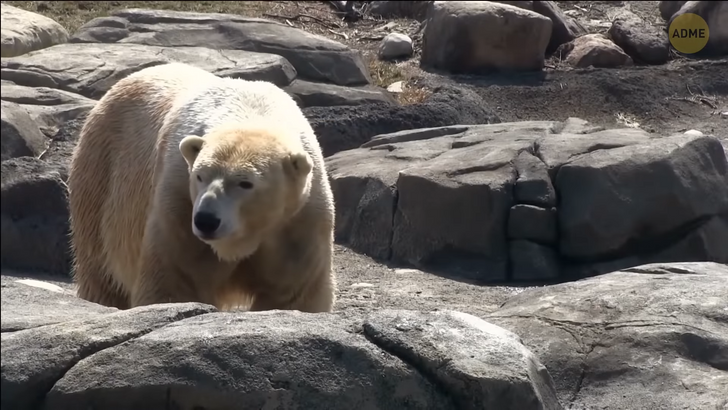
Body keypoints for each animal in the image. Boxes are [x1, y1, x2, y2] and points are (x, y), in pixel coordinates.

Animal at [67, 62, 336, 314]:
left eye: (245, 183)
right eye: (199, 176)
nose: (206, 220)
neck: (253, 112)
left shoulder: (299, 221)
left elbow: (293, 292)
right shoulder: (178, 202)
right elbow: (176, 280)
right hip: (101, 175)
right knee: (101, 271)